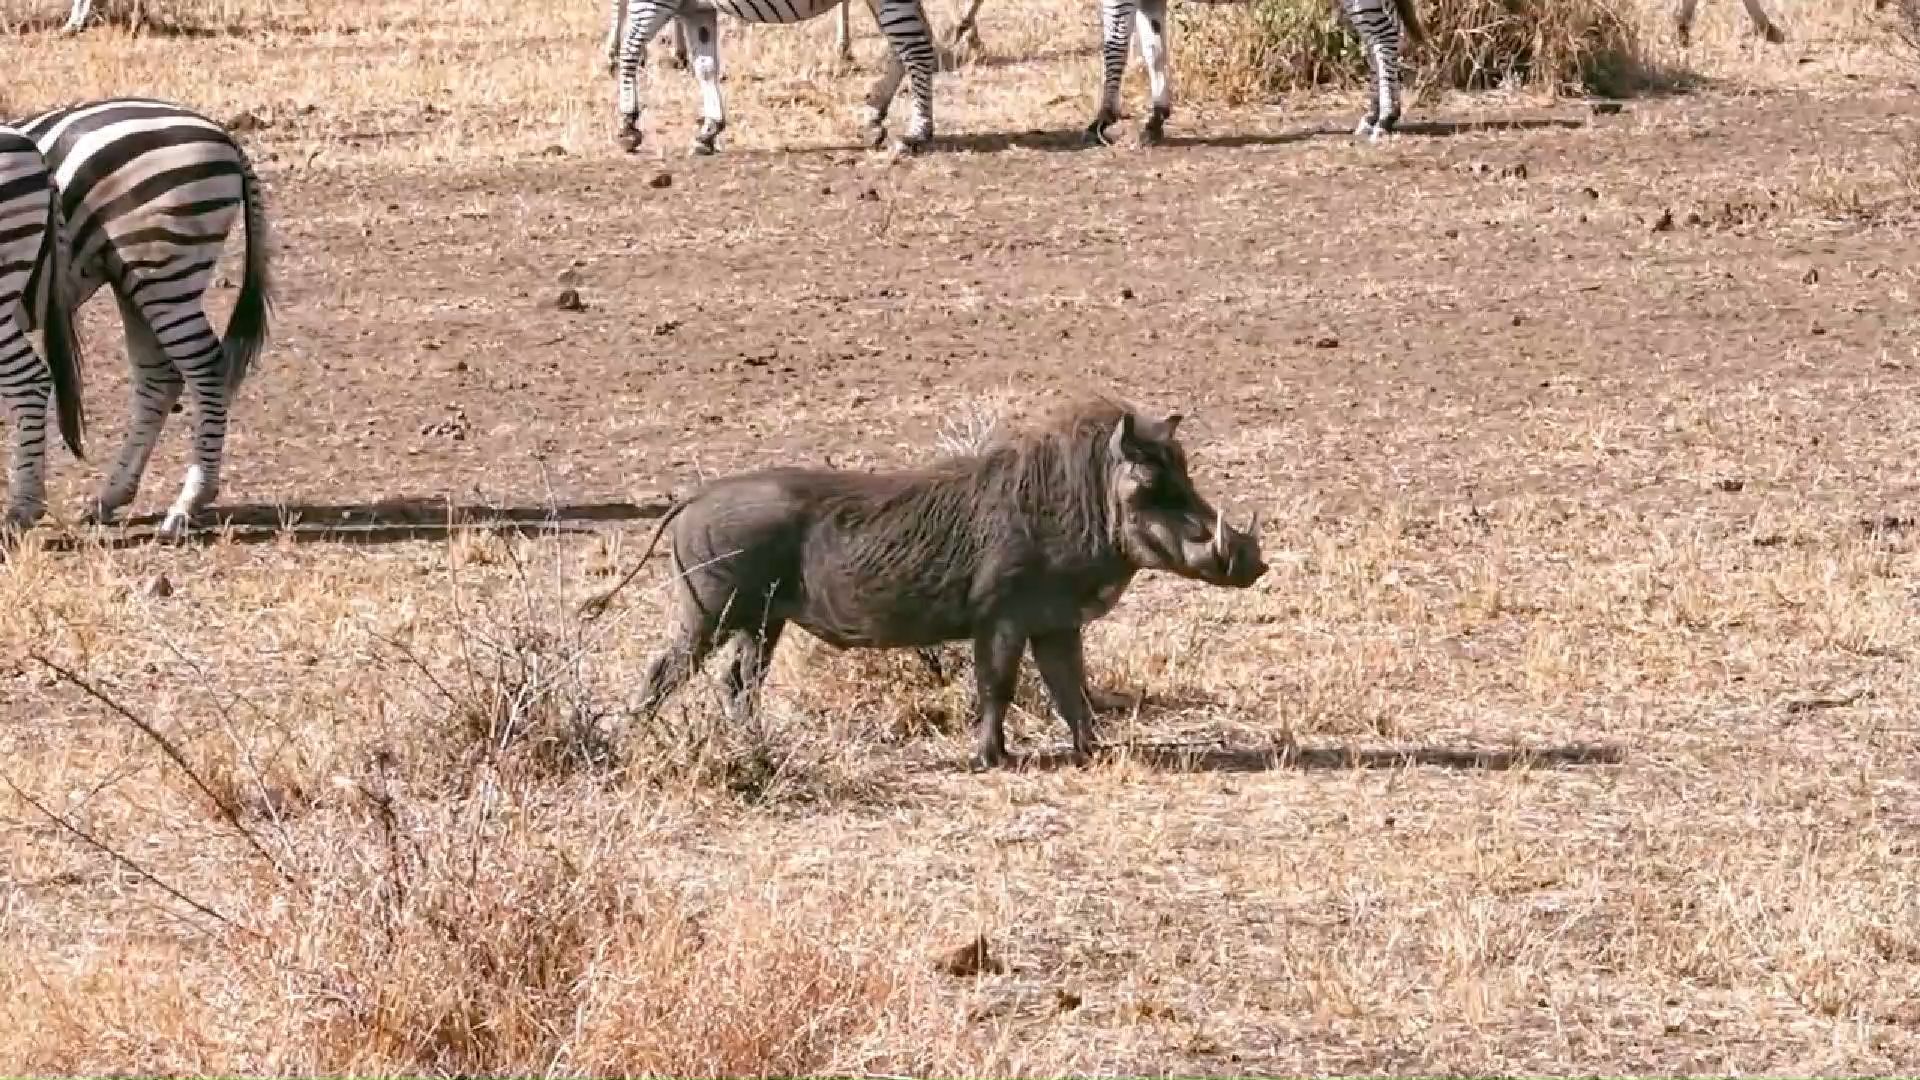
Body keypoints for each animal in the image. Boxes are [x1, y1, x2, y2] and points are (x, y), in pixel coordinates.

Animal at [15, 98, 272, 538]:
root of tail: (224, 135)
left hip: (162, 269)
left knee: (205, 368)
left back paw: (187, 504)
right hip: (133, 278)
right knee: (159, 378)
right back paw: (112, 496)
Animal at [610, 0, 940, 153]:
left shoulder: (654, 0)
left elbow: (630, 51)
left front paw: (628, 124)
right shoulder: (696, 9)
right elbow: (705, 65)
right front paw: (710, 129)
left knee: (918, 52)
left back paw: (916, 133)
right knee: (911, 48)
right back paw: (876, 115)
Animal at [1090, 0, 1420, 145]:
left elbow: (1114, 46)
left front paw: (1101, 121)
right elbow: (1154, 51)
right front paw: (1156, 119)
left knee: (1385, 37)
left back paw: (1386, 119)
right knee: (1377, 40)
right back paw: (1375, 115)